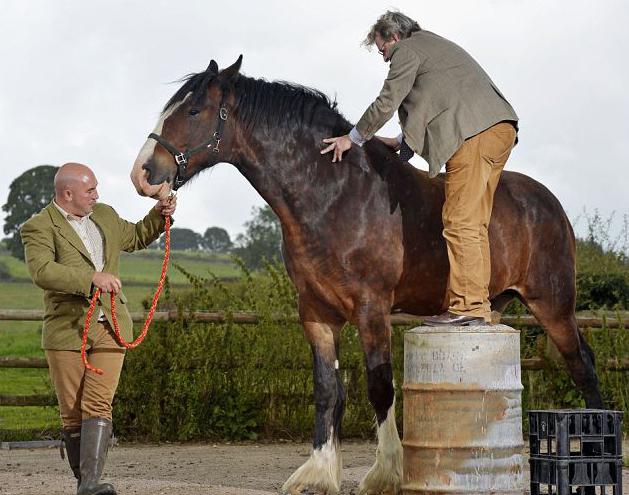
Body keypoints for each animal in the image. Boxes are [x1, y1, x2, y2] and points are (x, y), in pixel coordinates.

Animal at [129, 56, 604, 494]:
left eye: (193, 111)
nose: (144, 174)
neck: (334, 195)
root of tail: (548, 202)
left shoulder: (372, 309)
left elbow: (379, 386)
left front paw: (386, 473)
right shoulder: (316, 313)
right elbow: (327, 390)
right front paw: (318, 473)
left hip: (553, 305)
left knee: (582, 365)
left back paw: (594, 459)